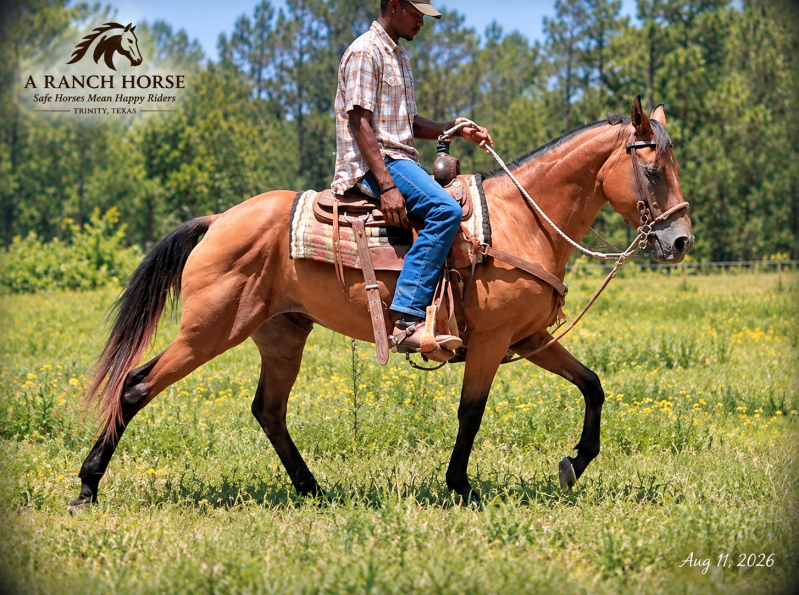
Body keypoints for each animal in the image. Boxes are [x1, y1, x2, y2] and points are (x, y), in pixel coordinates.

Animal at [68, 97, 693, 512]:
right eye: (653, 169)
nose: (681, 240)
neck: (522, 220)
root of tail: (219, 220)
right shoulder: (491, 342)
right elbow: (472, 412)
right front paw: (461, 487)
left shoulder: (529, 338)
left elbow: (592, 384)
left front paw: (573, 463)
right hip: (209, 330)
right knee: (136, 386)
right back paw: (86, 488)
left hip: (281, 335)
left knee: (269, 409)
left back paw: (312, 488)